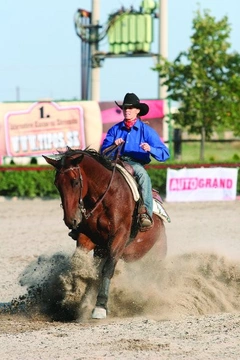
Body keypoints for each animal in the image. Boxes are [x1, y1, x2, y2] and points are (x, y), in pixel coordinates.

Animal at [42, 148, 167, 320]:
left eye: (75, 182)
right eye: (57, 184)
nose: (71, 220)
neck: (107, 196)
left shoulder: (120, 237)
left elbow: (107, 269)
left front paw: (100, 306)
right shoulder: (88, 237)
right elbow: (79, 263)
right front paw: (76, 295)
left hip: (155, 258)